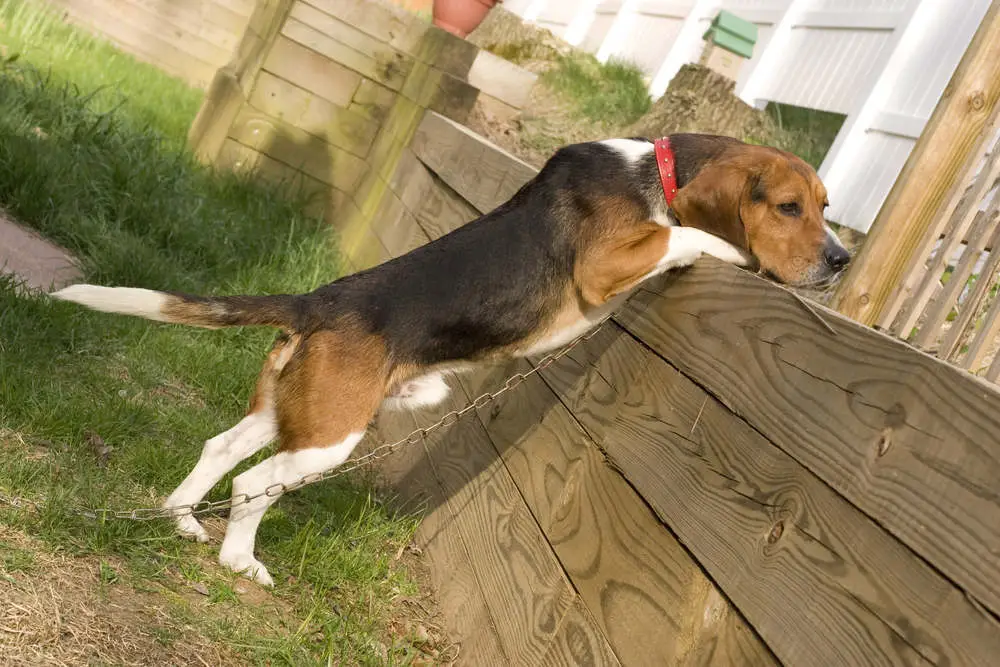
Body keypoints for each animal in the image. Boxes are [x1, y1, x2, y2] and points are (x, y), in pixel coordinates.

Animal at [50, 132, 848, 584]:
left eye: (826, 206)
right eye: (787, 208)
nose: (840, 261)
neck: (655, 168)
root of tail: (315, 301)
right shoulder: (607, 265)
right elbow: (686, 237)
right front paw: (729, 252)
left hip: (298, 410)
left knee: (221, 447)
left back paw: (181, 519)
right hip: (330, 437)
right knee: (253, 484)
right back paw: (239, 561)